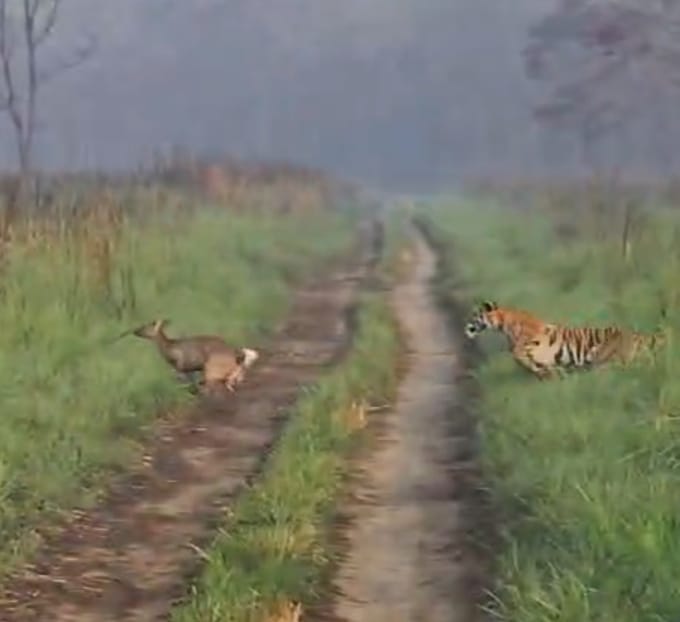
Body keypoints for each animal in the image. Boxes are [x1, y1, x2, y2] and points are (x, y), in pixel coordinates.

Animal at [464, 300, 666, 380]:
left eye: (474, 315)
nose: (466, 327)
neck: (503, 325)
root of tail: (641, 336)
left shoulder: (532, 342)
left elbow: (517, 353)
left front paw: (543, 370)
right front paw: (546, 372)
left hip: (606, 360)